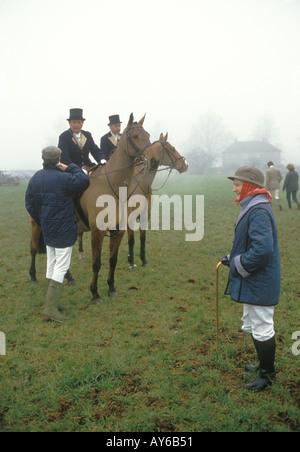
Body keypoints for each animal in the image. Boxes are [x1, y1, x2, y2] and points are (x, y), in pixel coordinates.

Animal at [75, 112, 159, 304]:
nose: (154, 160)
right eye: (135, 136)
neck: (111, 186)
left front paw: (111, 288)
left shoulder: (118, 230)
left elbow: (112, 259)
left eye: (148, 135)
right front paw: (95, 293)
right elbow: (96, 263)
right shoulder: (97, 232)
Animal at [126, 134, 188, 268]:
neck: (141, 184)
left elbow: (142, 238)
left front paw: (144, 260)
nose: (186, 164)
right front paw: (132, 262)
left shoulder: (145, 215)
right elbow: (131, 240)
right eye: (172, 148)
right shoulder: (130, 217)